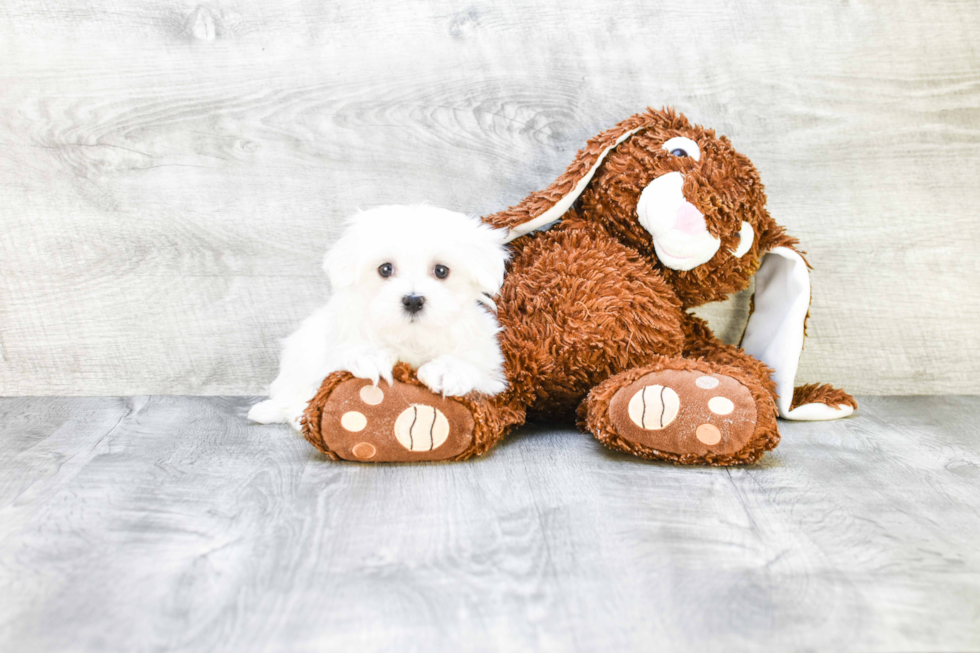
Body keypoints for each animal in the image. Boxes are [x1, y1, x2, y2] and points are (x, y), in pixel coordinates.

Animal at [249, 204, 510, 428]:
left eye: (441, 271)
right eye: (385, 269)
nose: (413, 300)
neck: (411, 335)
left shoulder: (488, 360)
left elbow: (475, 361)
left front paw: (447, 370)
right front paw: (370, 357)